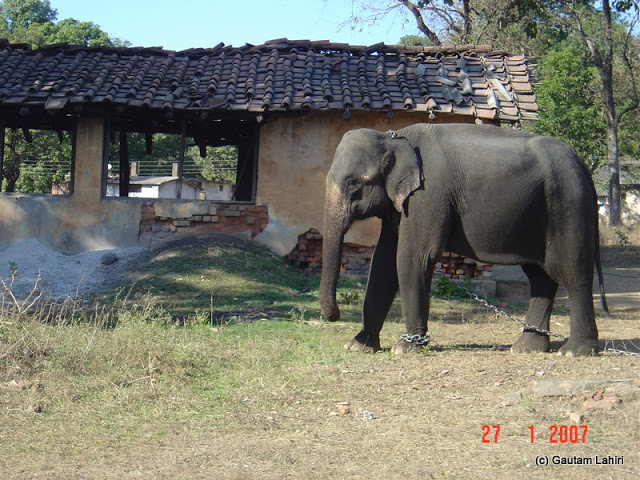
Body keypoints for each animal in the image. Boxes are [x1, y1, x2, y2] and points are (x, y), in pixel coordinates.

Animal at [318, 123, 608, 356]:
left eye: (353, 183)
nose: (335, 315)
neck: (395, 137)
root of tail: (583, 164)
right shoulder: (398, 207)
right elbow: (383, 262)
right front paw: (358, 346)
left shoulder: (427, 195)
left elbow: (413, 258)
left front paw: (406, 348)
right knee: (540, 277)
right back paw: (526, 348)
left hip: (569, 205)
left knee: (572, 274)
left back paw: (574, 352)